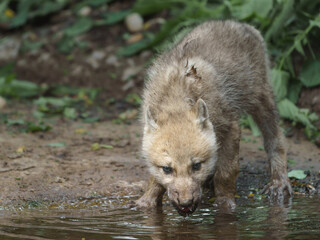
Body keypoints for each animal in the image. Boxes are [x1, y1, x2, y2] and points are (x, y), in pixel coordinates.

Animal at [135, 20, 292, 216]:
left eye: (196, 166)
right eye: (167, 169)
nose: (185, 204)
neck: (176, 98)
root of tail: (241, 24)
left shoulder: (231, 127)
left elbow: (226, 173)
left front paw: (225, 206)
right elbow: (154, 180)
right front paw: (146, 202)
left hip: (259, 97)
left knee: (276, 136)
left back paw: (279, 182)